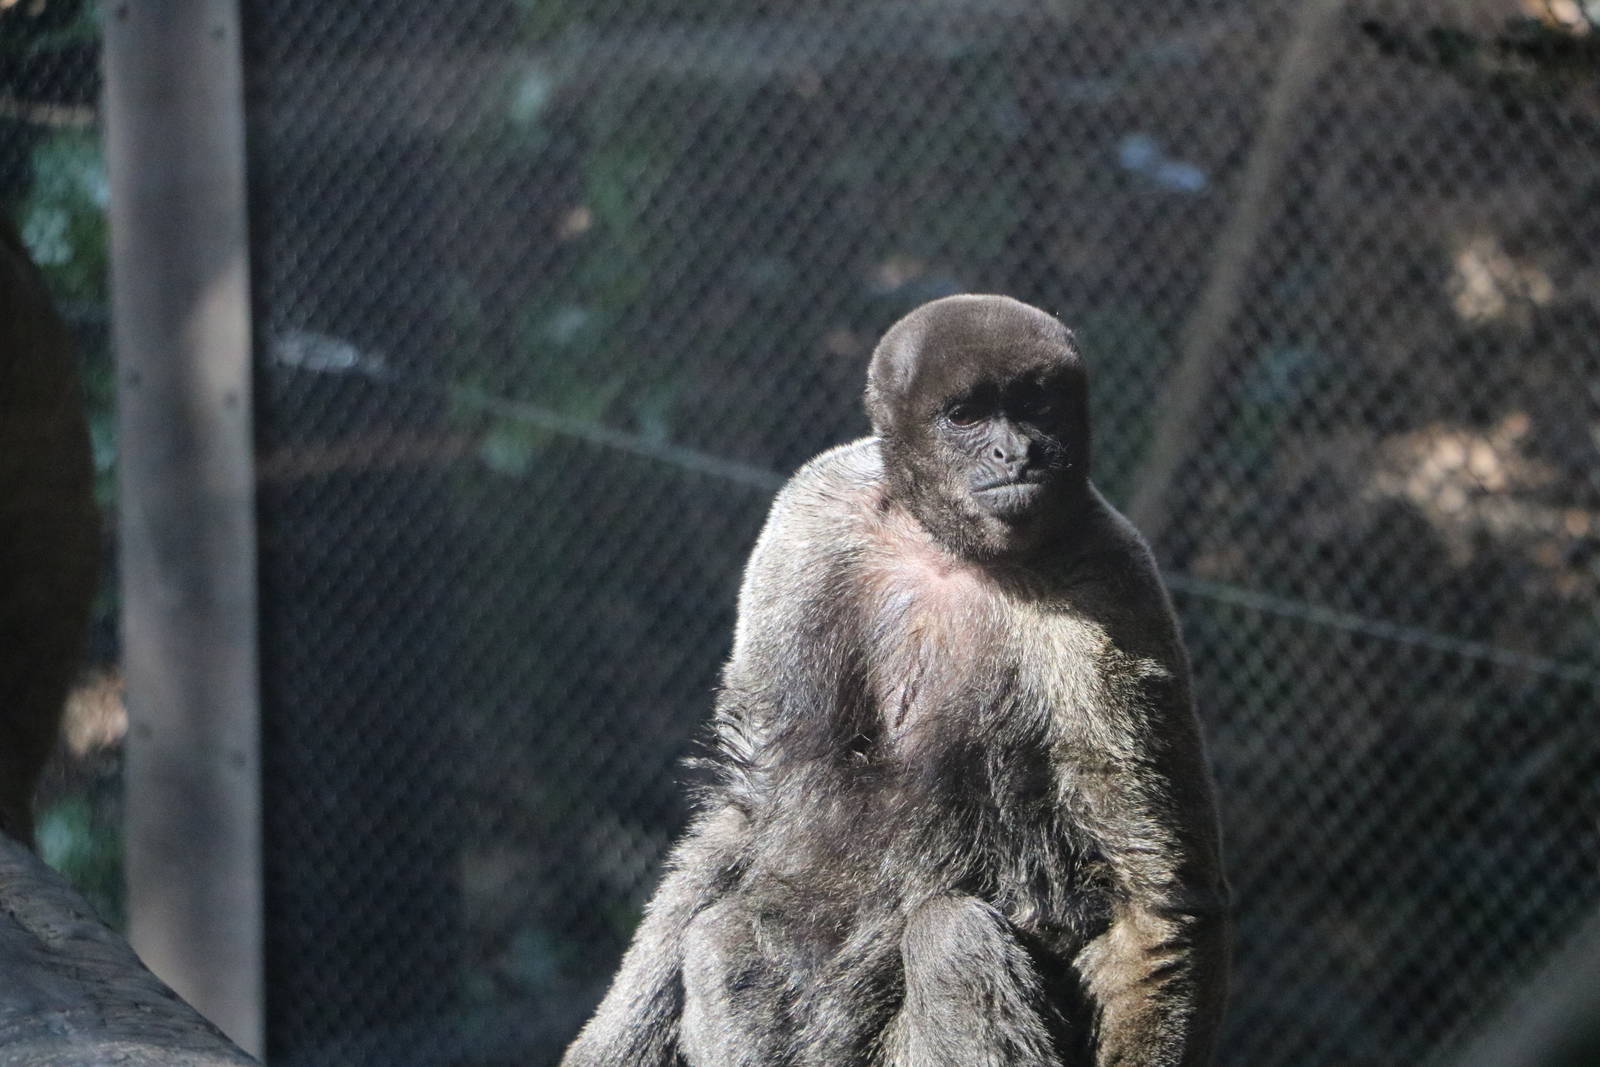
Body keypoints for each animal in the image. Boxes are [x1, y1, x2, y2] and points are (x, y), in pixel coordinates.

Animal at [562, 294, 1229, 1066]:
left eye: (1036, 403)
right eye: (966, 416)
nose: (1016, 452)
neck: (948, 548)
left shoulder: (1112, 576)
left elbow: (1156, 898)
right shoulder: (812, 513)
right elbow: (751, 802)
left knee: (951, 935)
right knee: (720, 936)